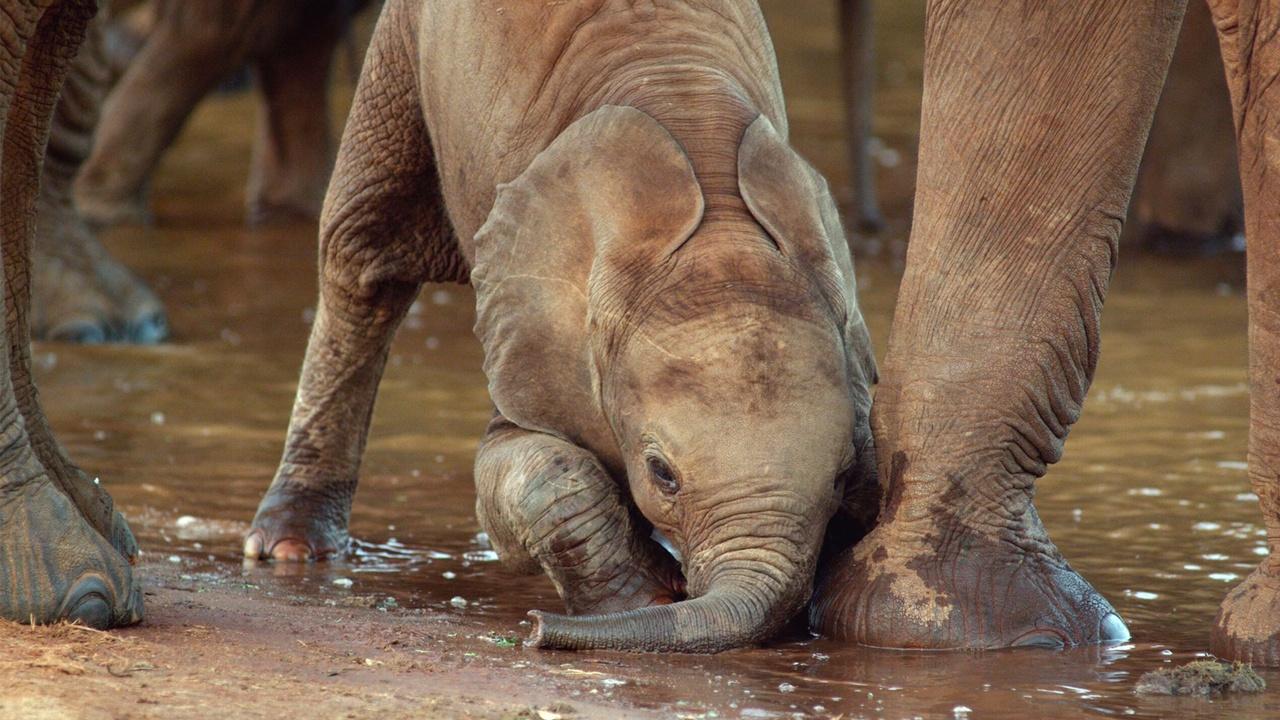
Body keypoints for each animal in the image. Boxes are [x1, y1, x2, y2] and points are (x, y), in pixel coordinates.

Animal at [243, 0, 875, 650]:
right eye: (663, 475)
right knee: (363, 256)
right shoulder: (533, 332)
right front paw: (644, 596)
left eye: (841, 476)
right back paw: (291, 548)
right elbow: (524, 465)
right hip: (403, 47)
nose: (534, 630)